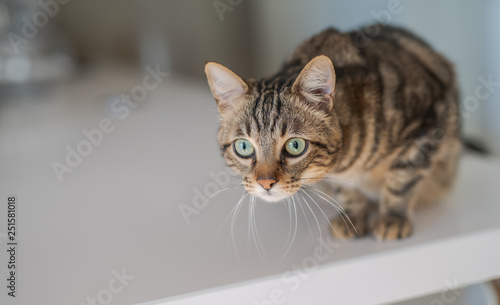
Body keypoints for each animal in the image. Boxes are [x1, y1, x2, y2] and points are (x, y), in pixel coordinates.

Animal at [203, 25, 460, 240]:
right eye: (243, 147)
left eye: (295, 146)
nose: (266, 183)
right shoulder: (338, 178)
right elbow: (346, 191)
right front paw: (353, 216)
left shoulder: (427, 125)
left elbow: (402, 180)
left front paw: (392, 218)